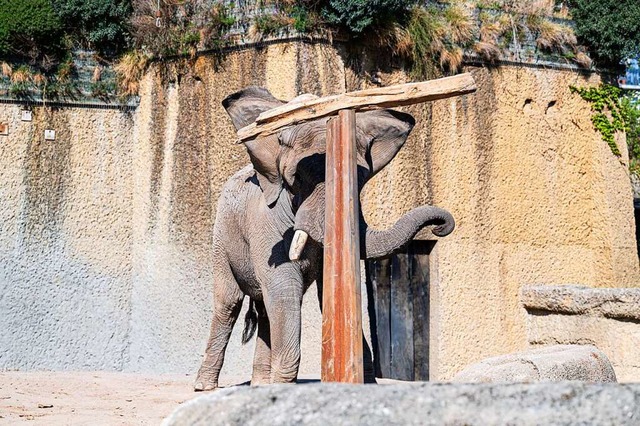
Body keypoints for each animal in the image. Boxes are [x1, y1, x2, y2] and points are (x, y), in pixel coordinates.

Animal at [195, 87, 456, 392]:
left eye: (362, 179)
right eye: (298, 177)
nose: (441, 226)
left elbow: (319, 290)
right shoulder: (265, 224)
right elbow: (285, 287)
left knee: (266, 308)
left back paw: (259, 385)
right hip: (222, 237)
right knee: (229, 303)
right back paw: (204, 387)